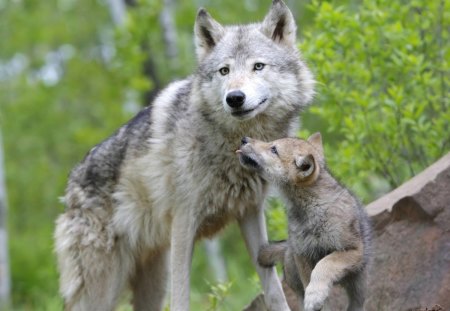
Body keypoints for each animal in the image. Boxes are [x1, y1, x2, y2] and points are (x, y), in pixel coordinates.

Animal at [53, 1, 312, 310]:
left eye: (258, 66)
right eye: (224, 71)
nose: (234, 98)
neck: (232, 145)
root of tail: (70, 188)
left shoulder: (250, 213)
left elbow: (273, 289)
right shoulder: (183, 223)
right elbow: (181, 297)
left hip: (153, 282)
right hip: (104, 288)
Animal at [237, 134, 370, 311]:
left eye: (274, 149)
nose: (244, 139)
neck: (312, 209)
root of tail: (287, 246)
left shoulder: (352, 250)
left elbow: (324, 264)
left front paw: (315, 295)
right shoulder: (303, 255)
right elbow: (310, 281)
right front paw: (315, 299)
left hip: (358, 287)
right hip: (293, 271)